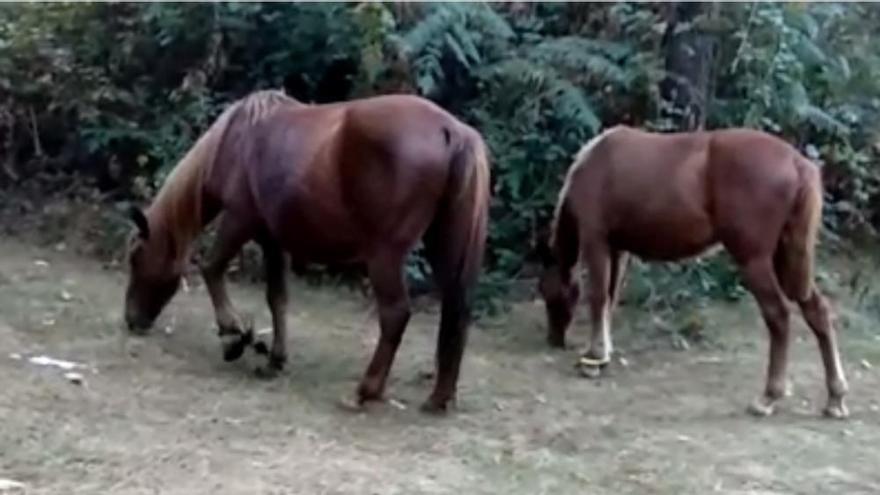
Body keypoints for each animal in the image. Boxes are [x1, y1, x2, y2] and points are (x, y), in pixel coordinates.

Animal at [121, 90, 492, 414]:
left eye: (135, 258)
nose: (131, 321)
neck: (235, 141)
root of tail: (452, 131)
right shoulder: (272, 239)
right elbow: (277, 298)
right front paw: (274, 359)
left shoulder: (239, 220)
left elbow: (211, 268)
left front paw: (233, 337)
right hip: (443, 249)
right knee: (456, 310)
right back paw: (439, 398)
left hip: (384, 256)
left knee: (395, 314)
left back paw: (364, 392)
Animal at [540, 125, 848, 418]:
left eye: (547, 293)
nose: (553, 340)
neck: (594, 163)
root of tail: (797, 162)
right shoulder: (618, 249)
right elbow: (610, 298)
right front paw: (604, 353)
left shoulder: (596, 241)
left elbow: (598, 298)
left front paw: (593, 359)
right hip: (787, 260)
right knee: (817, 311)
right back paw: (835, 399)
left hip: (755, 260)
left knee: (779, 316)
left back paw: (767, 398)